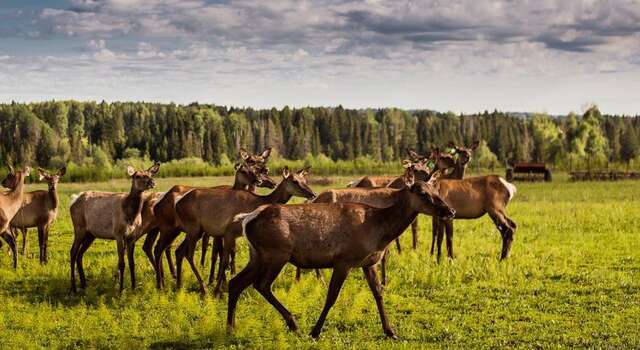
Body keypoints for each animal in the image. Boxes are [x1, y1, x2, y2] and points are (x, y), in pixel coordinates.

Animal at [68, 163, 159, 292]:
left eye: (150, 174)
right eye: (137, 176)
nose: (152, 182)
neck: (131, 215)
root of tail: (73, 200)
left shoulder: (132, 236)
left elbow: (132, 263)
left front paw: (133, 287)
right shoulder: (118, 233)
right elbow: (121, 263)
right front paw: (120, 290)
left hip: (91, 234)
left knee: (80, 255)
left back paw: (84, 284)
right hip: (79, 227)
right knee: (73, 252)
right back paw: (74, 287)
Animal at [170, 167, 318, 296]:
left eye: (305, 180)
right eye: (294, 181)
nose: (312, 194)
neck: (256, 203)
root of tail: (177, 204)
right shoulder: (228, 232)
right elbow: (224, 261)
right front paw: (217, 291)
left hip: (197, 230)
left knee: (179, 251)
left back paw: (178, 286)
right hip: (193, 227)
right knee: (189, 254)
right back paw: (203, 288)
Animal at [230, 168, 456, 340]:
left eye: (435, 189)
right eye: (423, 193)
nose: (450, 211)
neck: (380, 230)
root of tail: (247, 218)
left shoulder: (369, 262)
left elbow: (378, 293)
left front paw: (391, 331)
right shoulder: (343, 260)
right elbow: (331, 296)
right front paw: (315, 331)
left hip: (257, 255)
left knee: (236, 283)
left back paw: (230, 328)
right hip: (277, 254)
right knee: (261, 285)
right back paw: (292, 323)